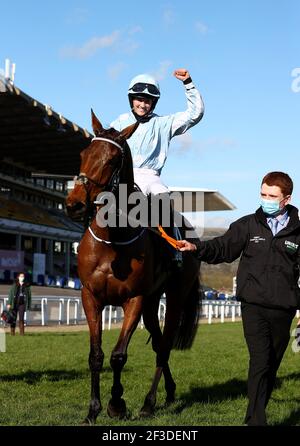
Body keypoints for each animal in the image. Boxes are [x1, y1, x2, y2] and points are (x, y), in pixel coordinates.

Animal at [66, 111, 202, 426]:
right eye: (83, 154)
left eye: (112, 160)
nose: (74, 205)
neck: (113, 240)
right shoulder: (91, 297)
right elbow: (96, 355)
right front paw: (93, 409)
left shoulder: (133, 299)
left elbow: (118, 355)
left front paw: (116, 404)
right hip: (152, 302)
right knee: (158, 343)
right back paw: (170, 391)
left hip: (174, 297)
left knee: (164, 345)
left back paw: (149, 403)